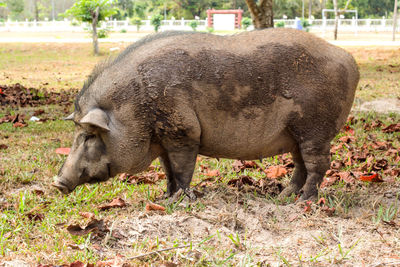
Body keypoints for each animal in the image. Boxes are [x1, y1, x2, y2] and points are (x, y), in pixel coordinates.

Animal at [52, 29, 360, 201]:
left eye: (90, 135)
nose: (57, 183)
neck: (134, 105)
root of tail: (349, 60)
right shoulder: (164, 139)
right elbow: (168, 170)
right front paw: (165, 197)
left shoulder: (183, 131)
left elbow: (182, 169)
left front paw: (181, 200)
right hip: (296, 132)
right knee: (300, 165)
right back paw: (285, 196)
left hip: (315, 127)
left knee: (318, 165)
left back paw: (304, 201)